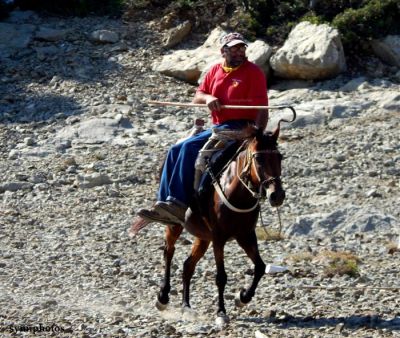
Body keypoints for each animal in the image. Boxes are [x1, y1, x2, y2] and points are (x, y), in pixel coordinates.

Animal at [130, 107, 296, 324]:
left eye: (280, 157)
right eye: (259, 159)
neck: (237, 193)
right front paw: (221, 312)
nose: (277, 195)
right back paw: (163, 297)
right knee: (169, 251)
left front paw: (243, 297)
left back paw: (186, 306)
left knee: (187, 265)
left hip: (203, 237)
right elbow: (221, 276)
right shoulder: (219, 237)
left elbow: (260, 267)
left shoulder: (246, 235)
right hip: (175, 225)